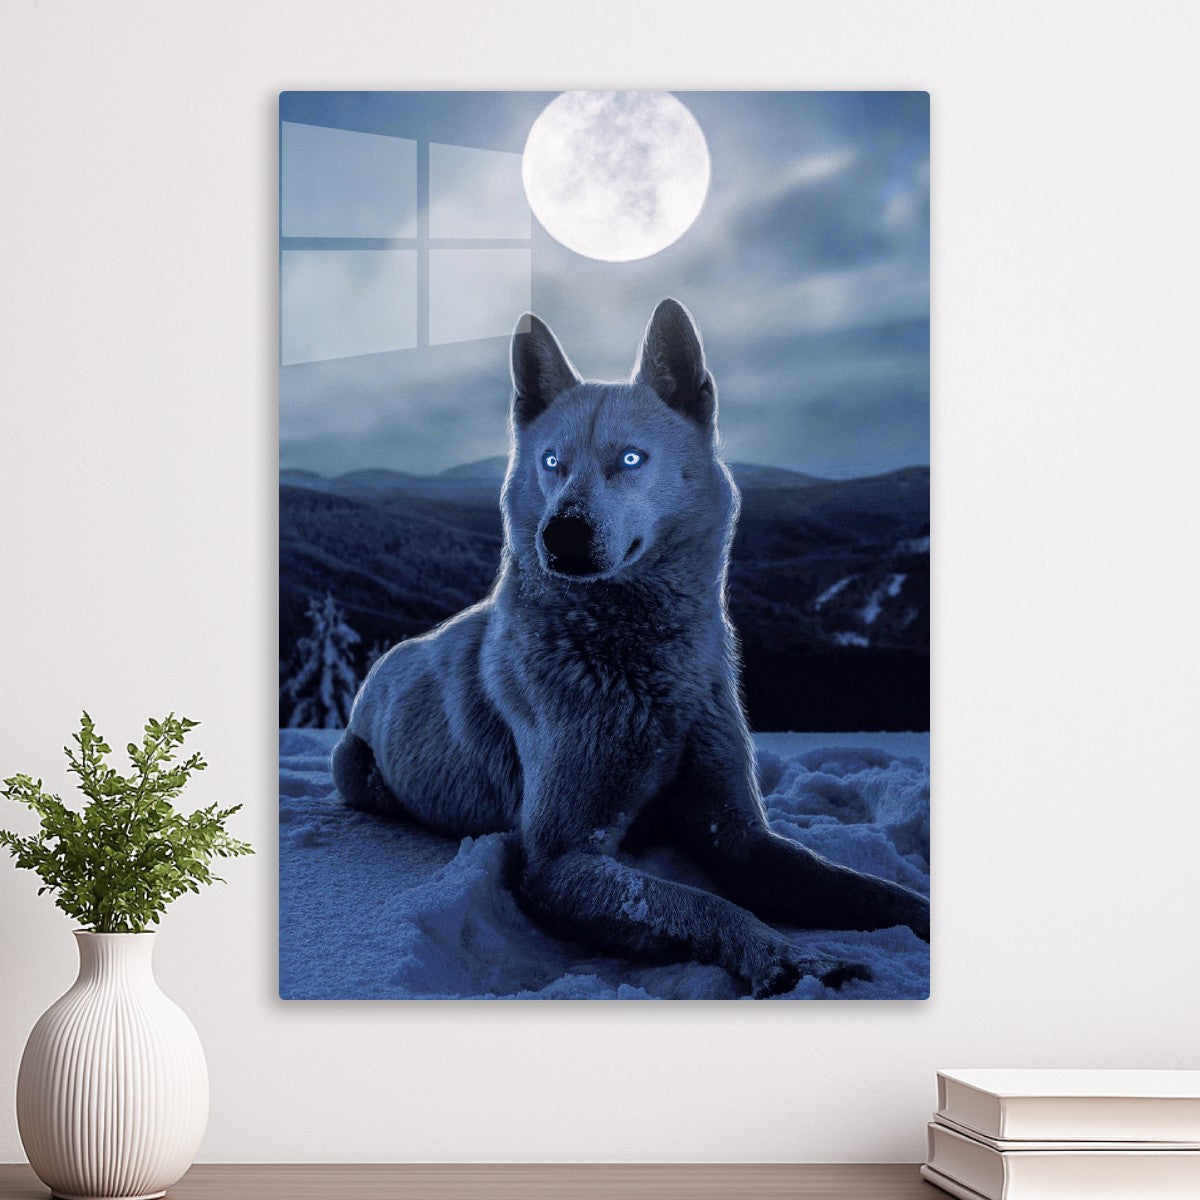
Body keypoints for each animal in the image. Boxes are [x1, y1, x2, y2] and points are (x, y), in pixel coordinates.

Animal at [332, 299, 929, 997]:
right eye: (553, 463)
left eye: (632, 459)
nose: (559, 535)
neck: (642, 669)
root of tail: (388, 660)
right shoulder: (560, 862)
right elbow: (700, 902)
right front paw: (789, 959)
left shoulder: (739, 833)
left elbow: (864, 888)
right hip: (353, 769)